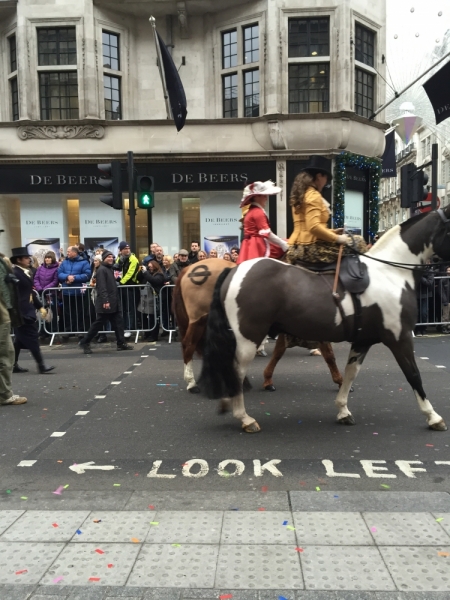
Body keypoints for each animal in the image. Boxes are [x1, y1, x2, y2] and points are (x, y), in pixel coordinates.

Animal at [171, 258, 342, 394]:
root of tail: (188, 269)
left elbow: (279, 351)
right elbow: (328, 354)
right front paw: (340, 381)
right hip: (199, 319)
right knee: (189, 345)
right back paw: (192, 383)